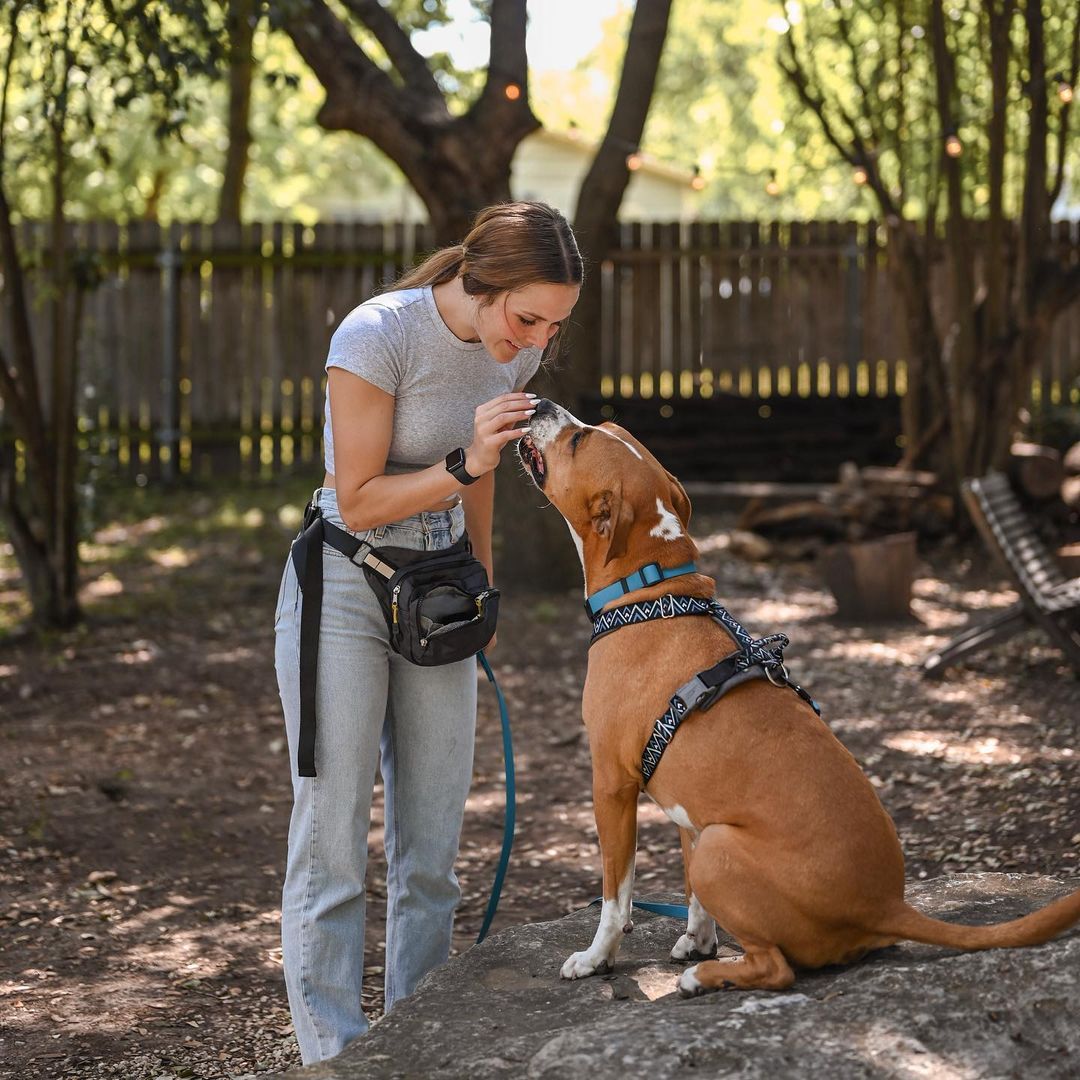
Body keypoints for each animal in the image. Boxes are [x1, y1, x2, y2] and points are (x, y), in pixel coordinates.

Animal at [514, 399, 1080, 993]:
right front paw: (698, 939)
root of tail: (886, 905)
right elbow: (692, 892)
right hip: (714, 836)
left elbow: (615, 896)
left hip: (720, 846)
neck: (650, 591)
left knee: (777, 967)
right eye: (599, 429)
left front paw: (597, 958)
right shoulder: (690, 810)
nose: (542, 403)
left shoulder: (612, 787)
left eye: (578, 441)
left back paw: (706, 977)